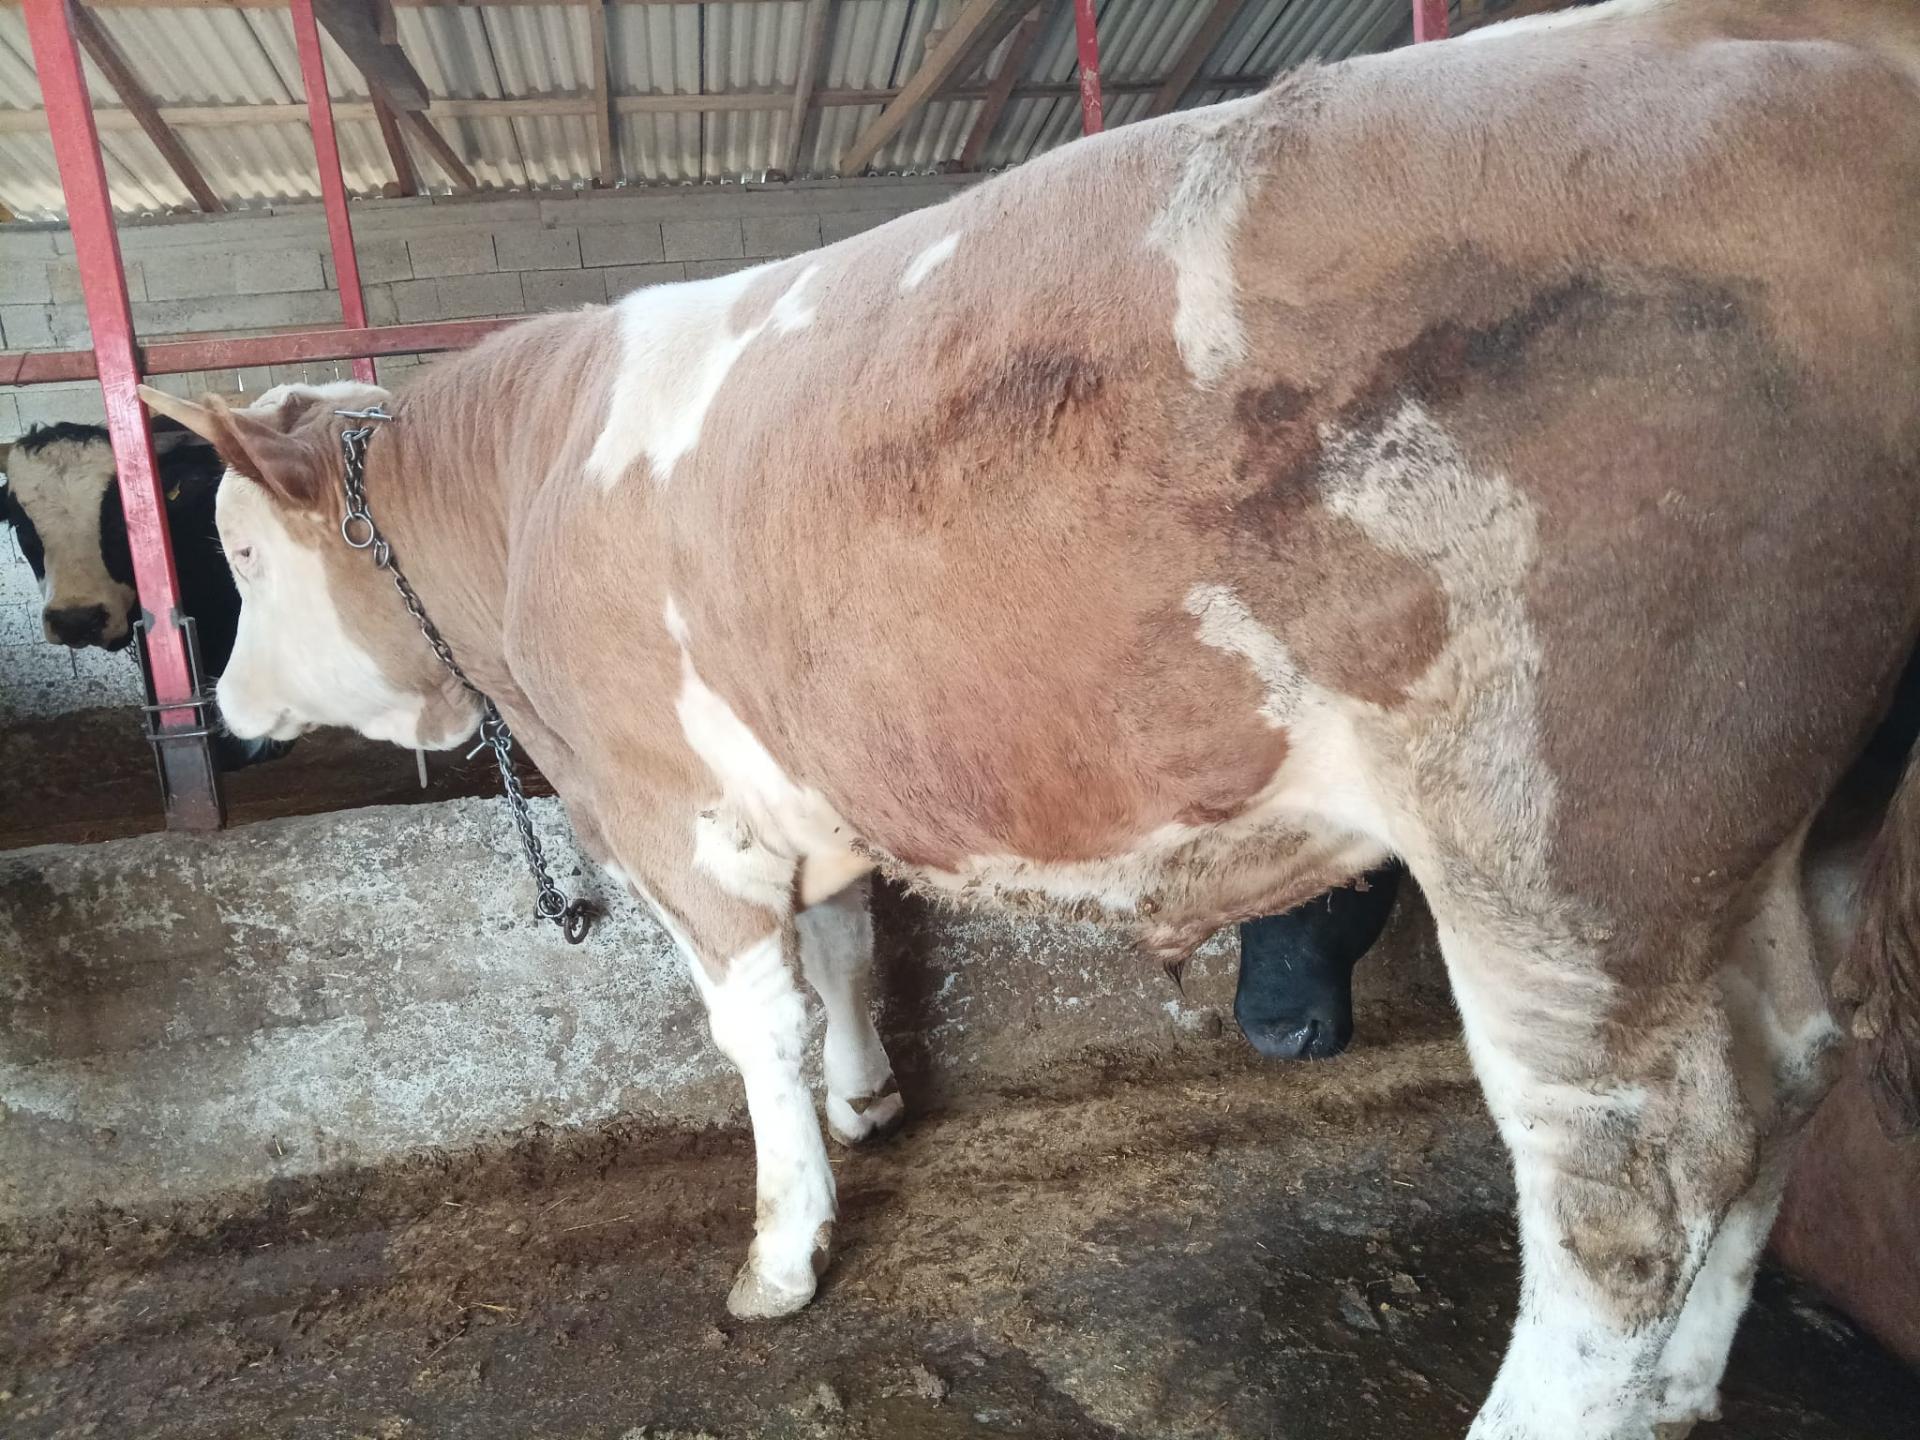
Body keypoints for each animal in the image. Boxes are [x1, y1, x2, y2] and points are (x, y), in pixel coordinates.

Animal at [139, 2, 1920, 1434]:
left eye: (239, 553)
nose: (219, 706)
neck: (523, 495)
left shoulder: (664, 808)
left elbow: (756, 1026)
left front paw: (782, 1250)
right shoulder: (810, 772)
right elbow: (850, 944)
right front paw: (867, 1101)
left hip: (1569, 826)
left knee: (1637, 1187)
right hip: (1795, 822)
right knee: (1790, 1076)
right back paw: (1687, 1389)